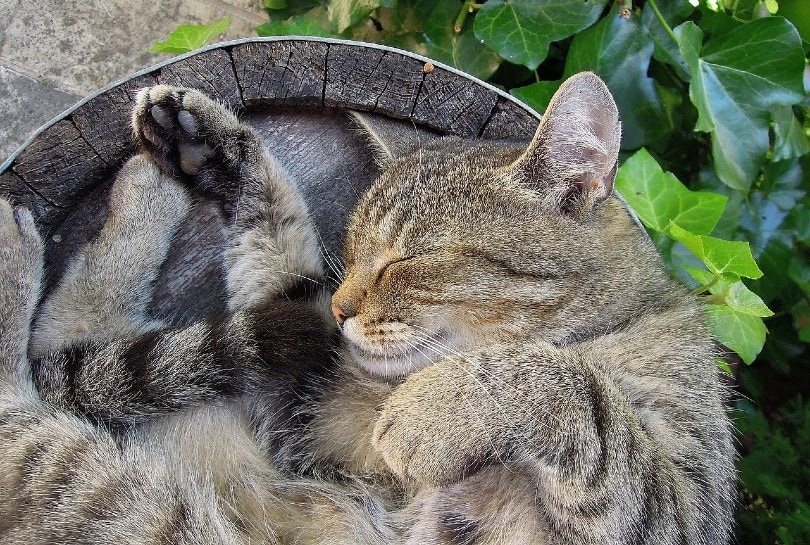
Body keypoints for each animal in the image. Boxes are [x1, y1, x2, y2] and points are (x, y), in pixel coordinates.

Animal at [0, 72, 732, 544]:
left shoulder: (684, 509)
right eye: (351, 252)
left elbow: (577, 390)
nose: (341, 305)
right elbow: (275, 249)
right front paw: (215, 145)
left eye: (404, 261)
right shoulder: (299, 405)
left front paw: (437, 410)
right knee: (50, 366)